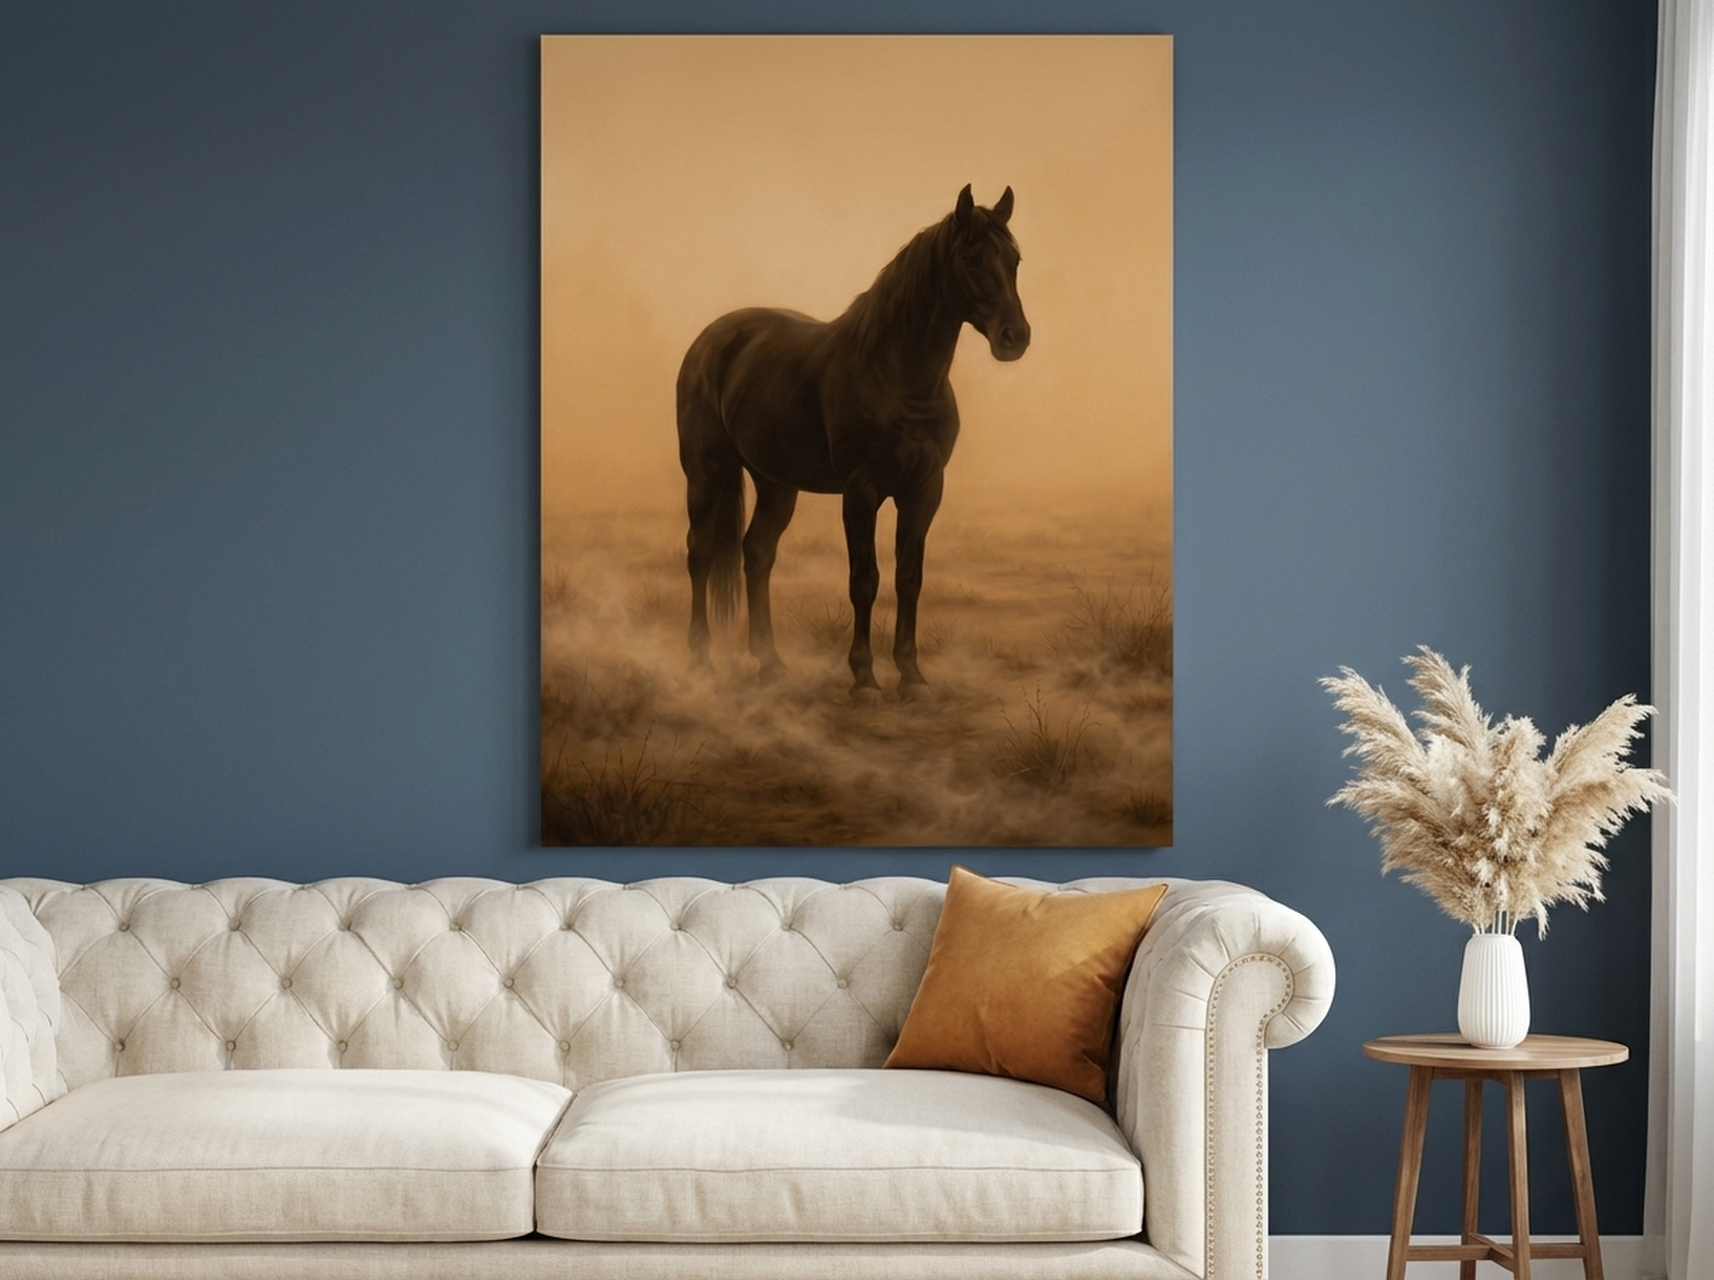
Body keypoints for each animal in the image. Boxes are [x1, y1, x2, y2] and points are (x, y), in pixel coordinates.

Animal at [676, 184, 1030, 698]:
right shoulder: (861, 492)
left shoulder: (924, 492)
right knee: (700, 551)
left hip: (775, 482)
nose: (1014, 337)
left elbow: (909, 578)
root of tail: (711, 338)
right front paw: (864, 678)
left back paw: (770, 661)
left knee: (757, 553)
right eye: (971, 258)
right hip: (707, 472)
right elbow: (864, 579)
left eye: (1014, 260)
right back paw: (701, 659)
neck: (897, 377)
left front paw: (911, 674)